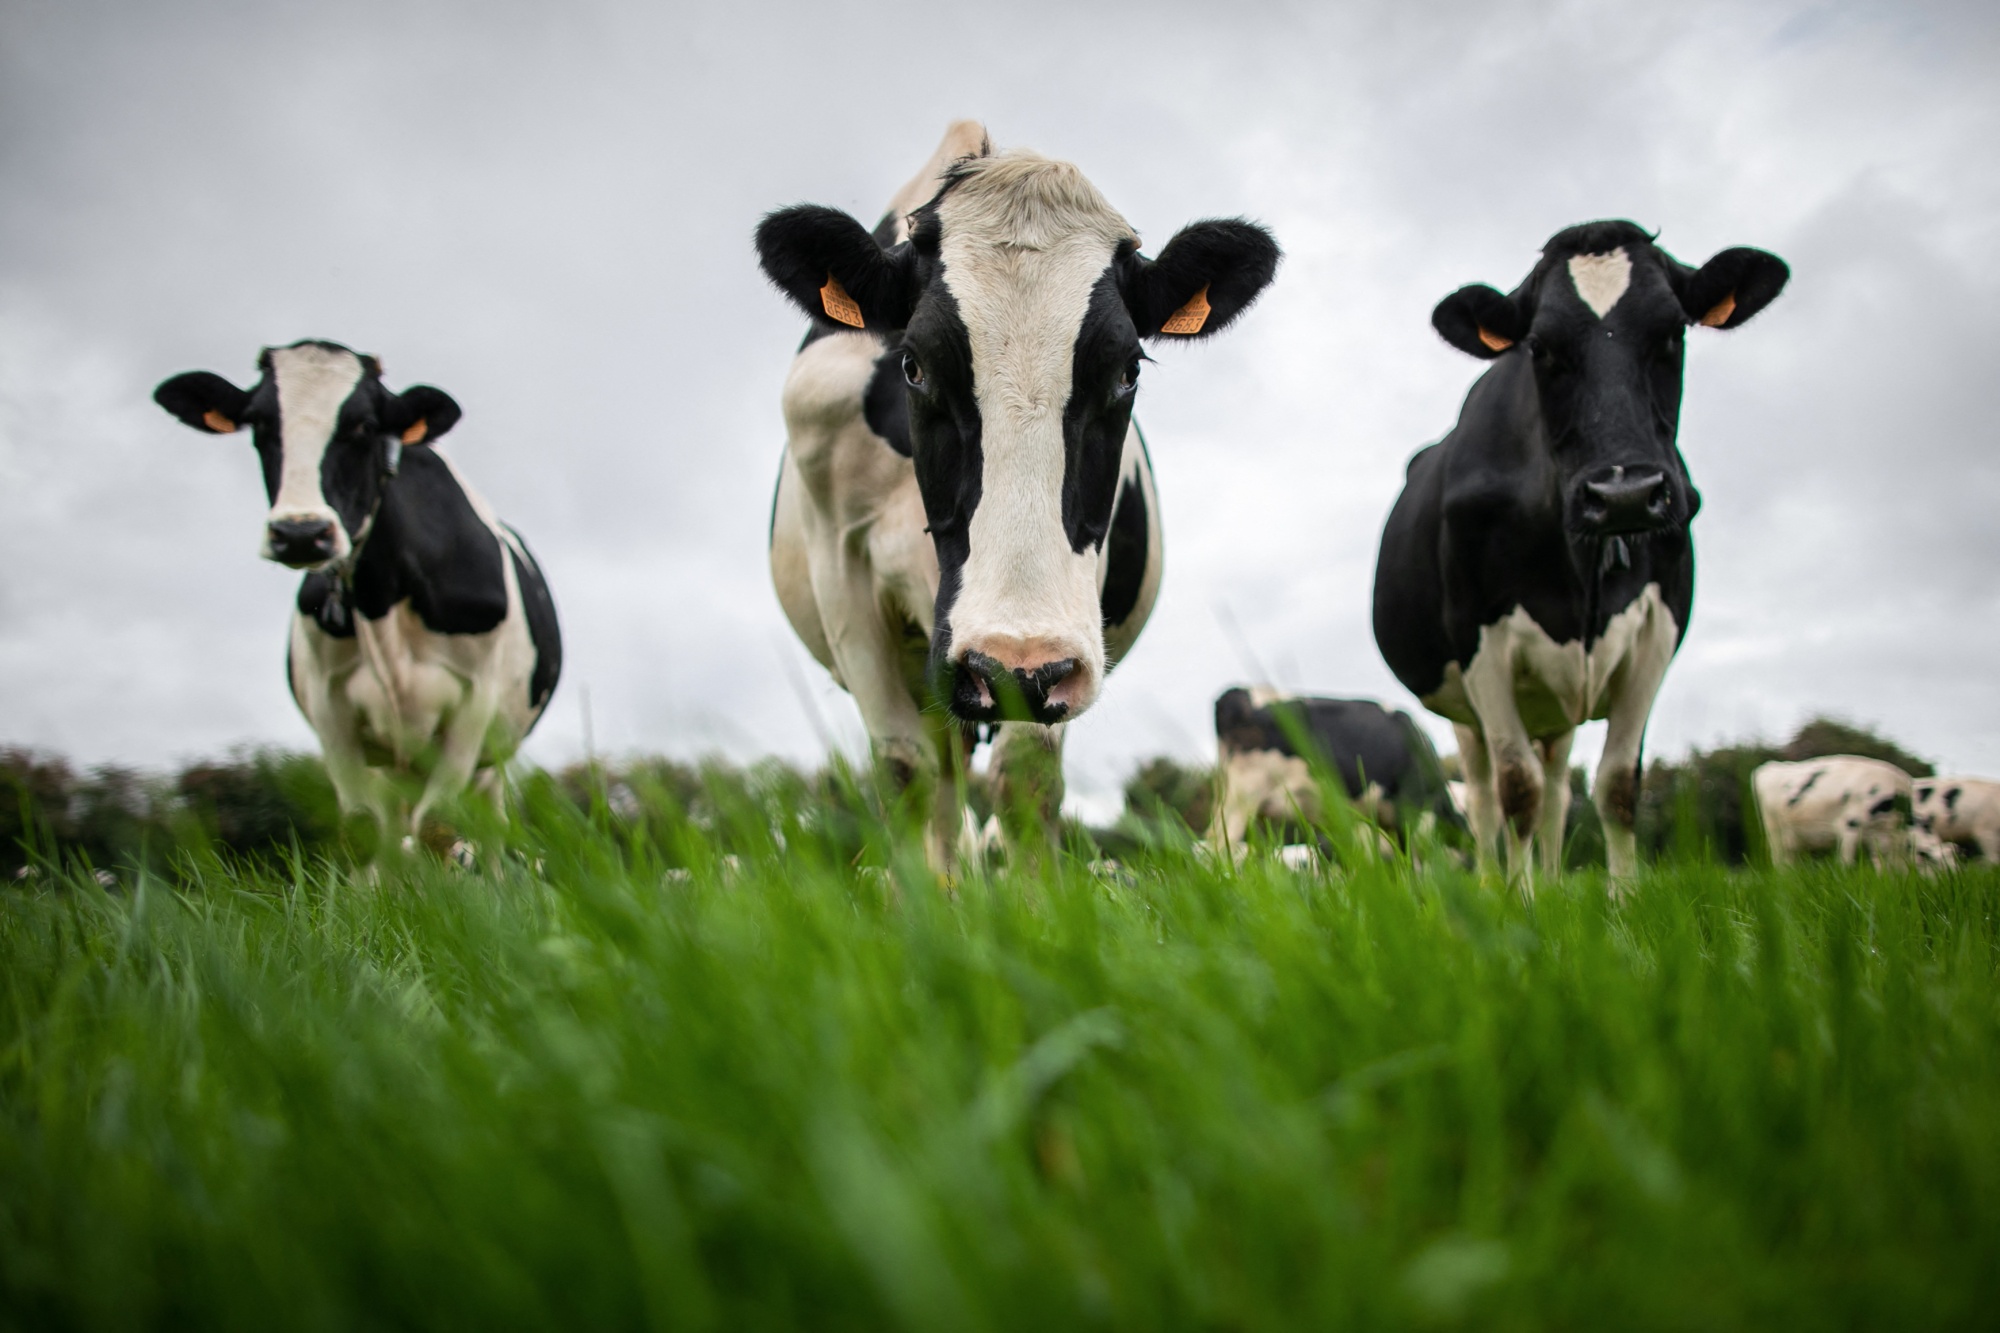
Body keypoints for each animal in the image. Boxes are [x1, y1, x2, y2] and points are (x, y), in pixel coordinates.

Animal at [151, 338, 560, 844]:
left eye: (364, 426)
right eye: (260, 423)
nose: (301, 534)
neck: (381, 597)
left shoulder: (473, 703)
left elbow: (441, 825)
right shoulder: (332, 709)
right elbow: (362, 826)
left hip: (491, 754)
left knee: (485, 826)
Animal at [752, 119, 1280, 856]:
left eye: (1127, 371)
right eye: (912, 364)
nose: (1010, 663)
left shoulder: (1061, 628)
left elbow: (1026, 775)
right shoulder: (843, 570)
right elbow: (904, 770)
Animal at [1376, 220, 1784, 892]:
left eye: (1673, 332)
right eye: (1540, 347)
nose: (1625, 493)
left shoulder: (1658, 631)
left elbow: (1617, 786)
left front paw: (1622, 902)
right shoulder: (1479, 641)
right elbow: (1516, 788)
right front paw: (1515, 903)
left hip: (1555, 708)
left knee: (1558, 790)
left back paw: (1552, 886)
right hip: (1467, 707)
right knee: (1487, 795)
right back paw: (1496, 884)